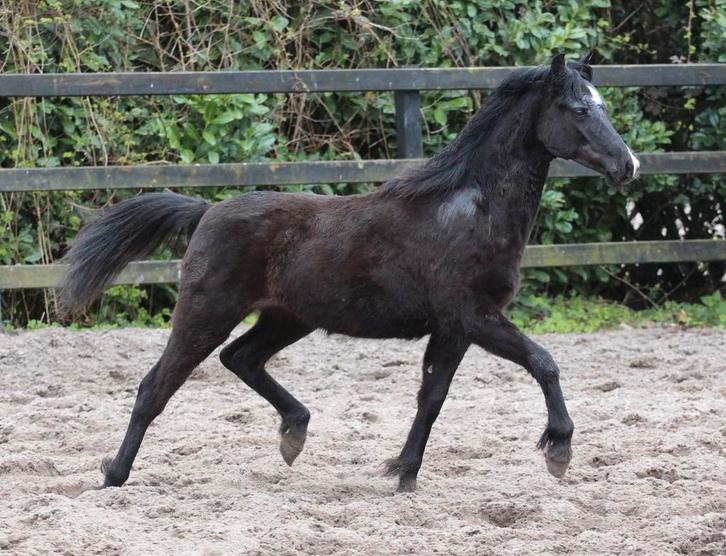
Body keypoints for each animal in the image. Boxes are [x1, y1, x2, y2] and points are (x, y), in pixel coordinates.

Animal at [59, 53, 640, 492]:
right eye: (578, 109)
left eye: (603, 107)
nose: (628, 165)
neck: (470, 210)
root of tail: (206, 211)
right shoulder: (473, 315)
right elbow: (545, 363)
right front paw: (558, 449)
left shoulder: (453, 328)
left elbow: (432, 398)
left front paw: (404, 474)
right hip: (206, 311)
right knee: (156, 385)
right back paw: (114, 474)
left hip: (288, 317)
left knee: (240, 358)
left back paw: (294, 434)